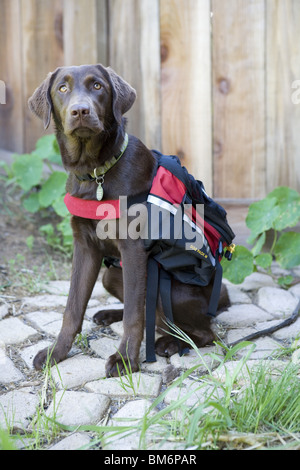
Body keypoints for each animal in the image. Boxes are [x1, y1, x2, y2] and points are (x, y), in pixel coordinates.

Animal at [28, 64, 230, 376]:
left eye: (97, 86)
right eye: (62, 88)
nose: (80, 110)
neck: (96, 173)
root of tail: (220, 297)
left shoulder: (133, 249)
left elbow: (135, 316)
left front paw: (124, 359)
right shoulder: (85, 246)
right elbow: (72, 308)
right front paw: (56, 353)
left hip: (169, 290)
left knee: (204, 332)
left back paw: (170, 343)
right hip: (111, 274)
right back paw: (109, 314)